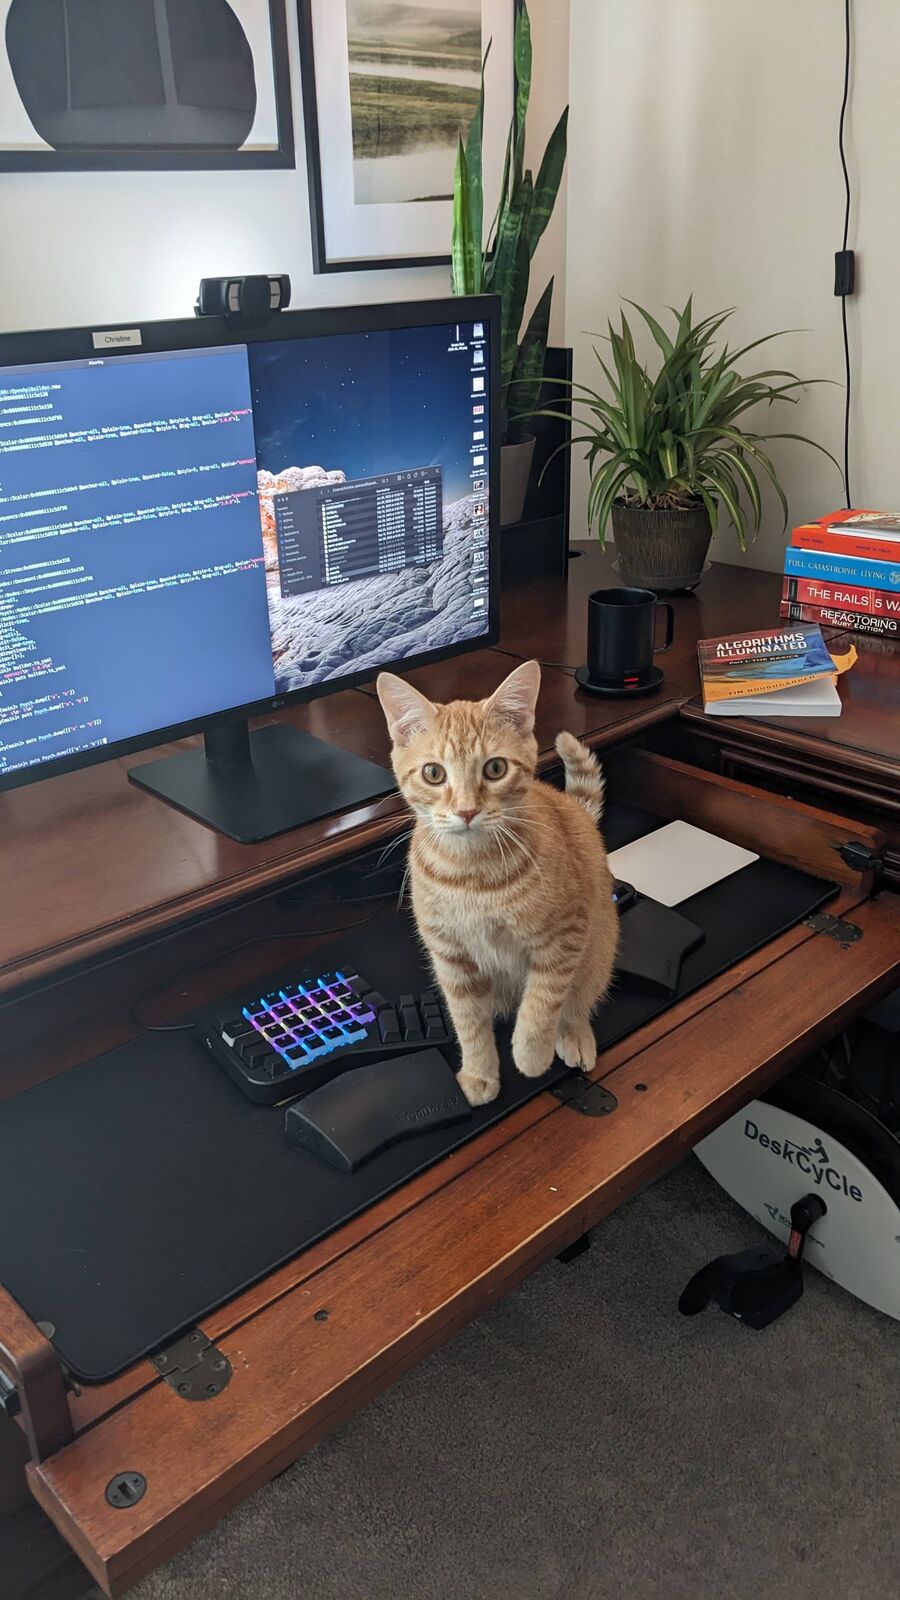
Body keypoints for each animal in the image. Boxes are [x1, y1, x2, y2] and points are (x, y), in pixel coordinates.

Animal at [376, 659, 619, 1107]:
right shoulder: (450, 957)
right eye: (433, 774)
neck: (472, 875)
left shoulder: (565, 937)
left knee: (578, 999)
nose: (466, 811)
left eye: (495, 768)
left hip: (597, 949)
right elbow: (468, 1023)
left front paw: (531, 1054)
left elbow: (543, 1003)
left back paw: (573, 1034)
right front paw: (479, 1073)